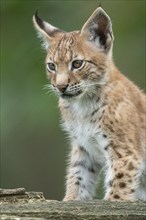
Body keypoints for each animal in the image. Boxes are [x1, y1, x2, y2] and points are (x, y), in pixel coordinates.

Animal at [32, 6, 145, 200]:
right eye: (52, 66)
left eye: (77, 64)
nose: (60, 86)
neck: (82, 105)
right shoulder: (84, 147)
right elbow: (77, 177)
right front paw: (71, 199)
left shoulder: (126, 155)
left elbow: (117, 192)